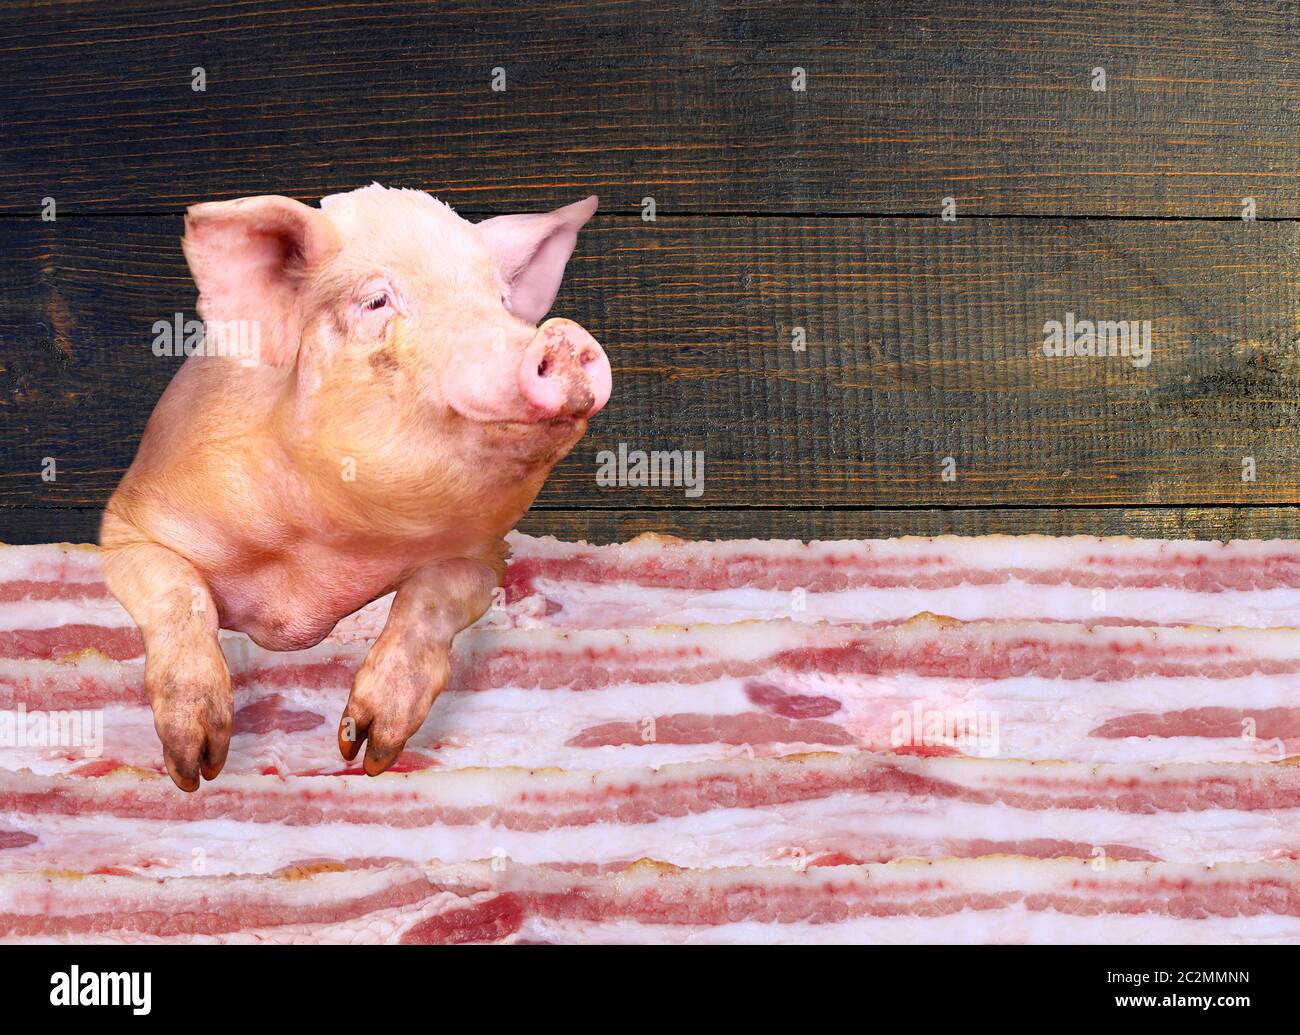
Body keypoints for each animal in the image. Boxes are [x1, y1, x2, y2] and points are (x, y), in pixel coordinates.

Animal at [100, 182, 608, 790]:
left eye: (502, 301)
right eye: (376, 302)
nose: (563, 336)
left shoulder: (484, 554)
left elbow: (433, 599)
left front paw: (366, 753)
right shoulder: (129, 522)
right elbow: (180, 592)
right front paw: (194, 770)